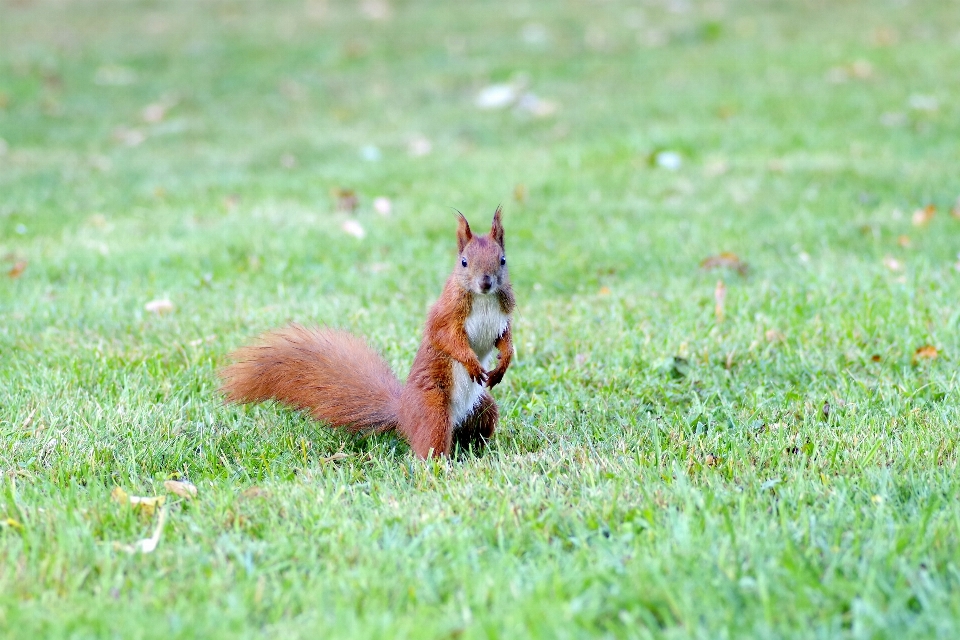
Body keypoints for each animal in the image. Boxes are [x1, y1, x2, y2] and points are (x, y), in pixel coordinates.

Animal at [220, 208, 512, 458]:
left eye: (502, 260)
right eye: (463, 262)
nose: (485, 283)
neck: (483, 299)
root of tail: (403, 413)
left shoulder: (503, 316)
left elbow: (505, 339)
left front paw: (503, 363)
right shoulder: (446, 315)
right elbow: (445, 338)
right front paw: (471, 362)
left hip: (483, 407)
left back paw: (480, 451)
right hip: (433, 411)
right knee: (431, 444)